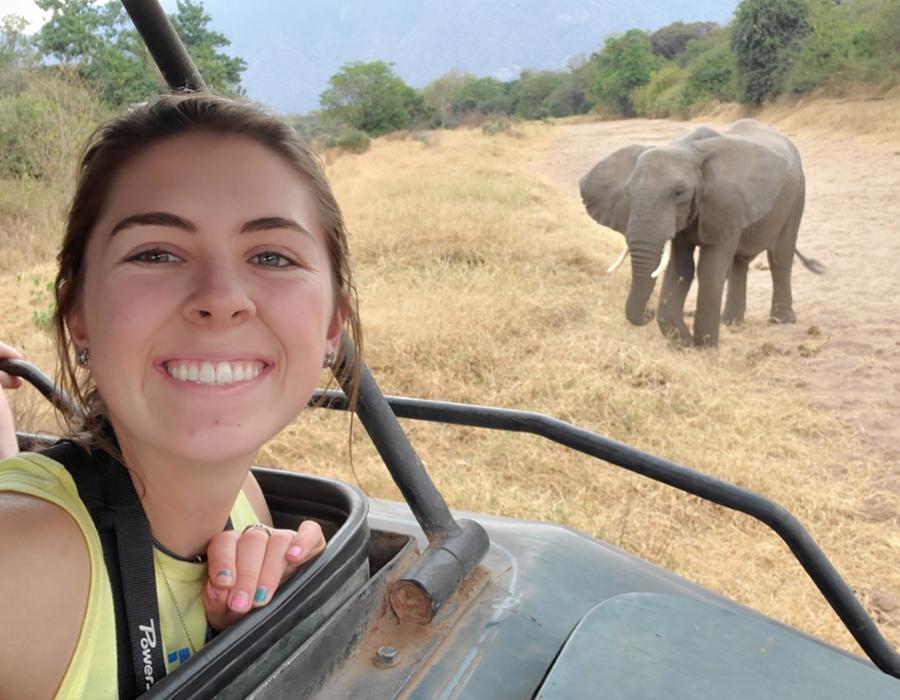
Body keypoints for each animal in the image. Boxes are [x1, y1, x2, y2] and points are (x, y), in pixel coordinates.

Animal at [580, 121, 812, 350]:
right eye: (628, 193)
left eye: (679, 193)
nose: (649, 312)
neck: (688, 149)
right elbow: (680, 269)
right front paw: (684, 344)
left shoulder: (723, 204)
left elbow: (709, 271)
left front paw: (706, 348)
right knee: (740, 262)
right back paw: (730, 322)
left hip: (797, 193)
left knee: (780, 255)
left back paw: (781, 321)